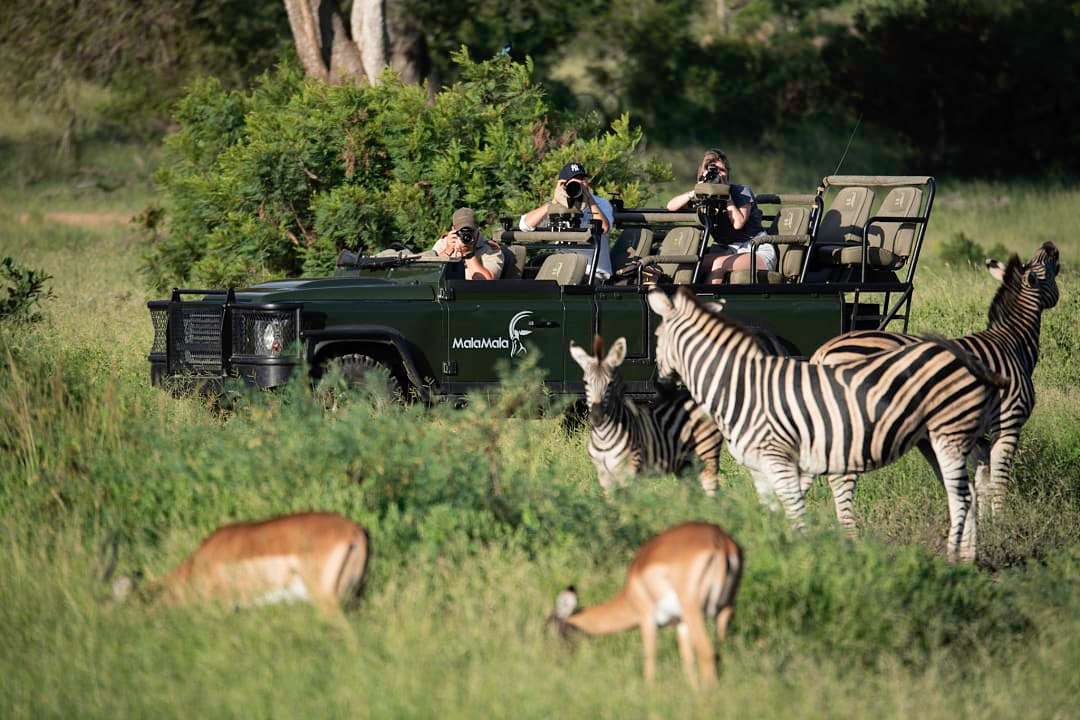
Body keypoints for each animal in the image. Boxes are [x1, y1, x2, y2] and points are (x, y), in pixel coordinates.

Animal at [548, 521, 742, 687]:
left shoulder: (647, 619)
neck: (631, 593)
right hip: (724, 610)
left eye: (549, 628)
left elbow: (650, 658)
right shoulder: (680, 623)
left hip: (693, 611)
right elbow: (687, 661)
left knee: (706, 652)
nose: (552, 660)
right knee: (718, 652)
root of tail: (721, 542)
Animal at [569, 335, 724, 494]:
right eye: (585, 382)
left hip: (707, 453)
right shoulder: (604, 475)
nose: (597, 416)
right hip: (686, 464)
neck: (603, 436)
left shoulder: (629, 470)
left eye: (610, 383)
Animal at [647, 287, 1008, 562]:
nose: (659, 386)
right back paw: (971, 550)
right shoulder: (763, 461)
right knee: (970, 481)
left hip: (941, 433)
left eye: (657, 335)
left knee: (966, 484)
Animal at [809, 242, 1060, 526]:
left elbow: (982, 478)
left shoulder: (976, 433)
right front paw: (1001, 522)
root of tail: (824, 350)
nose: (1050, 246)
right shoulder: (1008, 422)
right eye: (1048, 267)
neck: (1011, 343)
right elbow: (999, 478)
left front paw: (983, 522)